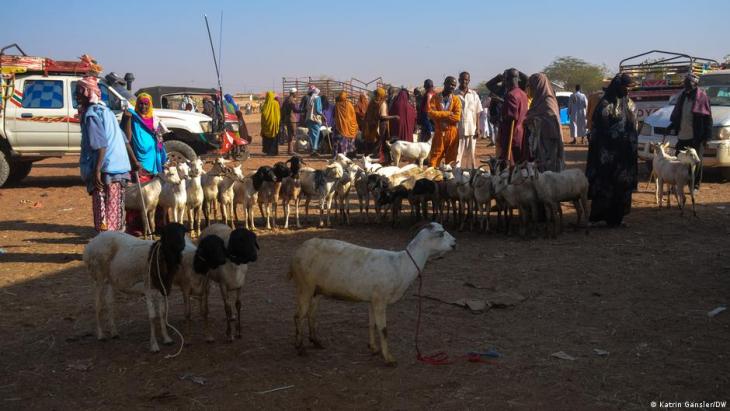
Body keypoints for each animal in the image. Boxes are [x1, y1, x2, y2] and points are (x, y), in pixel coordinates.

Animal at [288, 224, 456, 366]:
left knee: (311, 314)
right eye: (441, 233)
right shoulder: (380, 299)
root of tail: (299, 250)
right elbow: (383, 329)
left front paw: (373, 348)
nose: (455, 243)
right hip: (305, 286)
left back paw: (316, 342)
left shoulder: (372, 300)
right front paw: (388, 358)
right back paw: (300, 347)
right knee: (298, 316)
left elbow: (371, 324)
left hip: (317, 289)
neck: (402, 265)